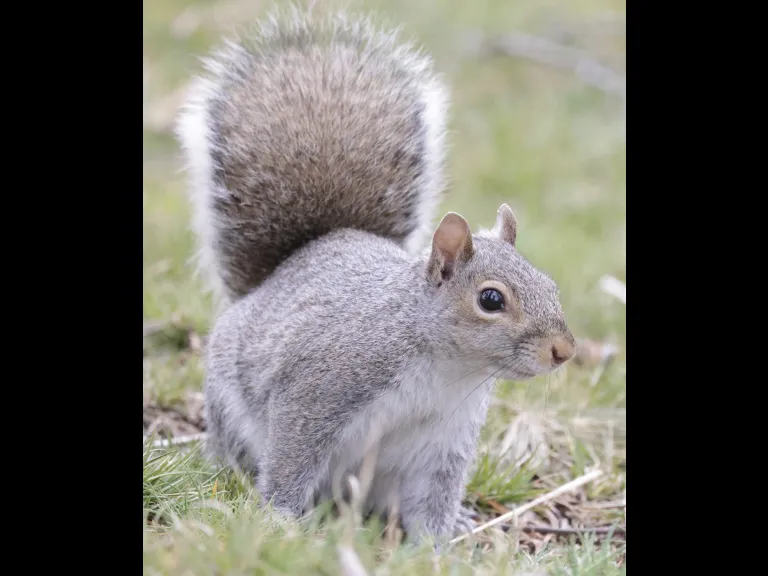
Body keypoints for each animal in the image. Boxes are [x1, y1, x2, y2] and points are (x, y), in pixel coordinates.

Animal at [175, 8, 576, 544]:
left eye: (551, 285)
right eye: (491, 300)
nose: (563, 350)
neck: (445, 369)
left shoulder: (445, 440)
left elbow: (434, 498)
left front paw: (438, 545)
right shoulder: (318, 391)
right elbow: (291, 460)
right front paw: (280, 520)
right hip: (232, 410)